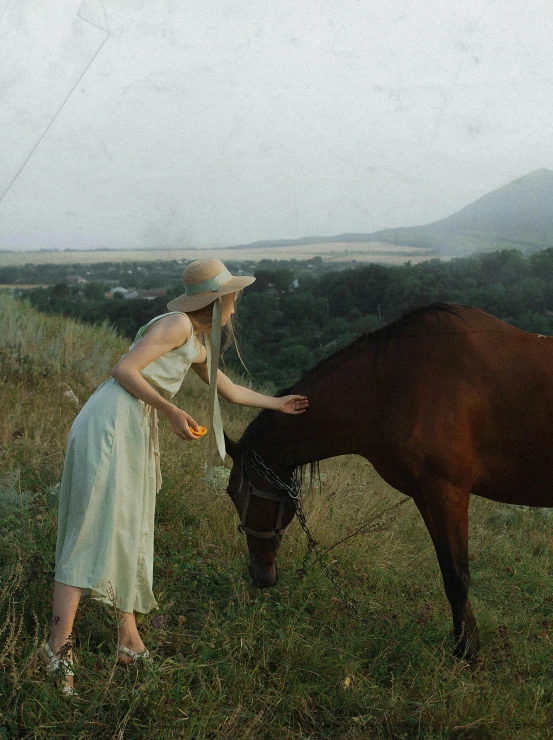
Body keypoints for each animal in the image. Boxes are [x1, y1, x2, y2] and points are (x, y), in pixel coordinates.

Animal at [225, 304, 553, 656]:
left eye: (233, 492)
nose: (259, 575)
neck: (396, 382)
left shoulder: (448, 492)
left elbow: (457, 576)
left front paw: (466, 651)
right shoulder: (426, 495)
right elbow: (447, 572)